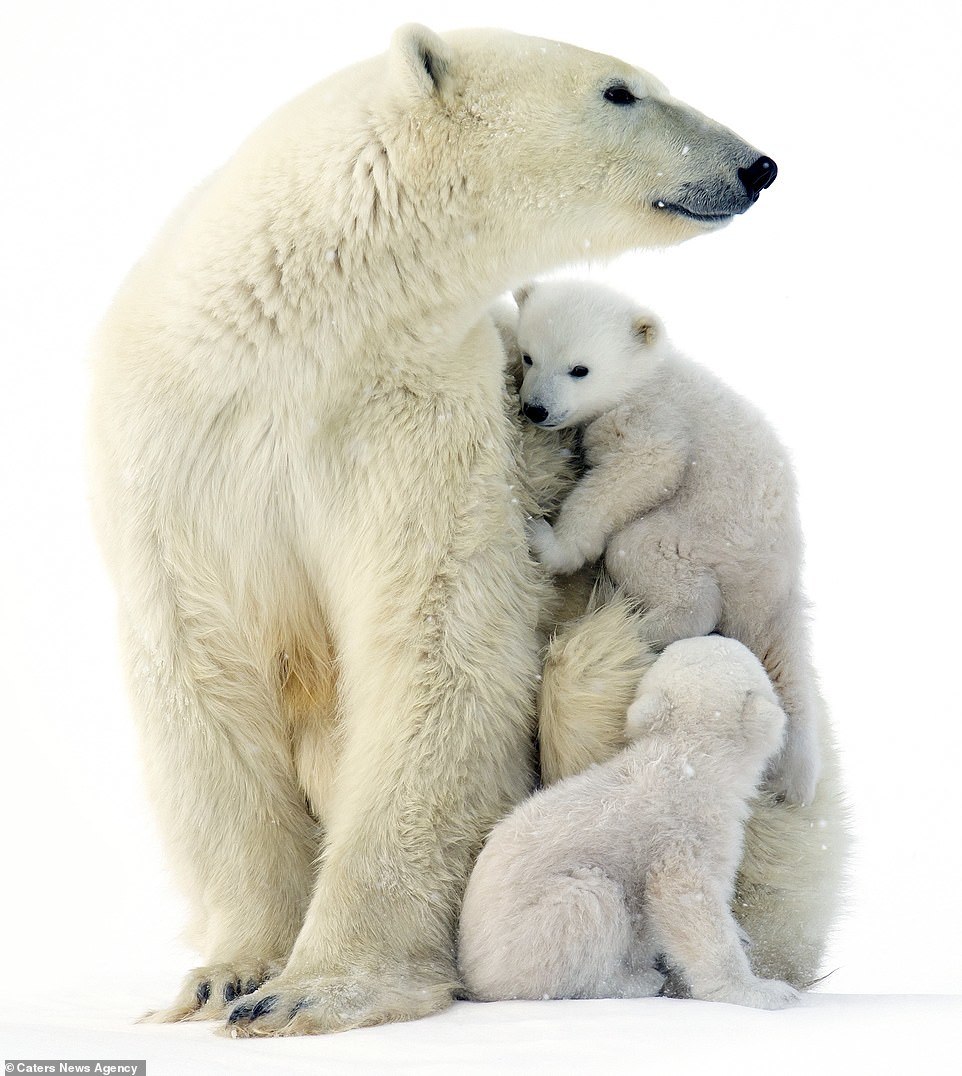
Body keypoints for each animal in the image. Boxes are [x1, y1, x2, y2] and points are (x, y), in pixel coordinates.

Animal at [90, 25, 800, 1032]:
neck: (302, 323)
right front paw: (228, 975)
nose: (755, 165)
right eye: (621, 91)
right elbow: (203, 662)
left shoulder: (413, 417)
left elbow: (439, 640)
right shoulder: (184, 440)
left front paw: (313, 988)